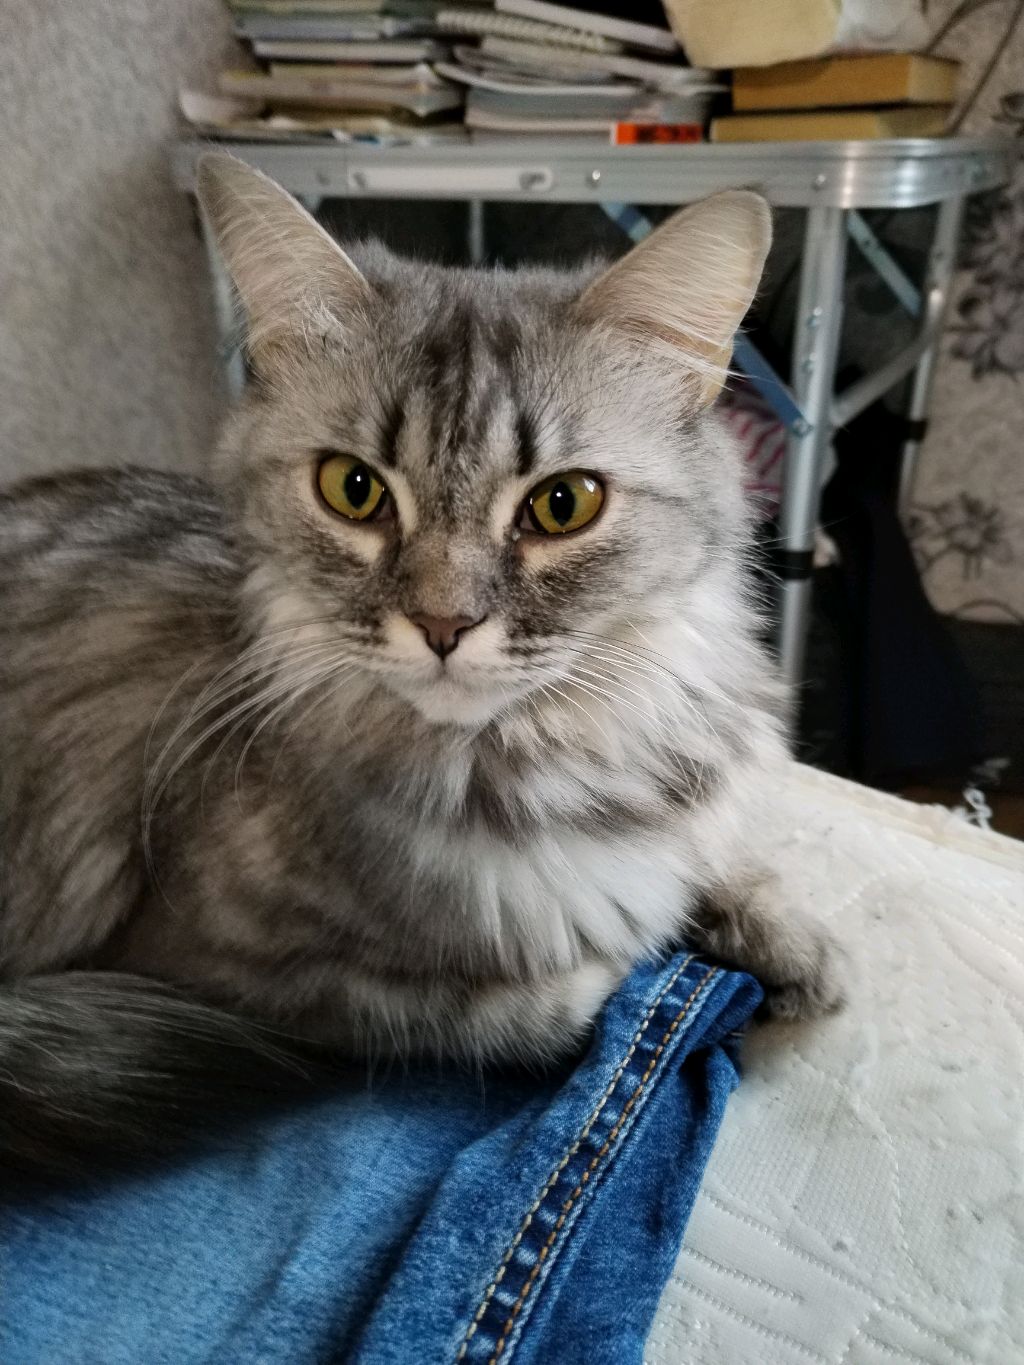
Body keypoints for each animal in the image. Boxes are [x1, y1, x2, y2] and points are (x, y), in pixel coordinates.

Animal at [0, 154, 842, 1179]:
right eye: (353, 489)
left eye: (564, 504)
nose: (444, 623)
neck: (538, 765)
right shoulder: (216, 969)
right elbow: (521, 1010)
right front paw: (667, 978)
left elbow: (723, 865)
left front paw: (795, 947)